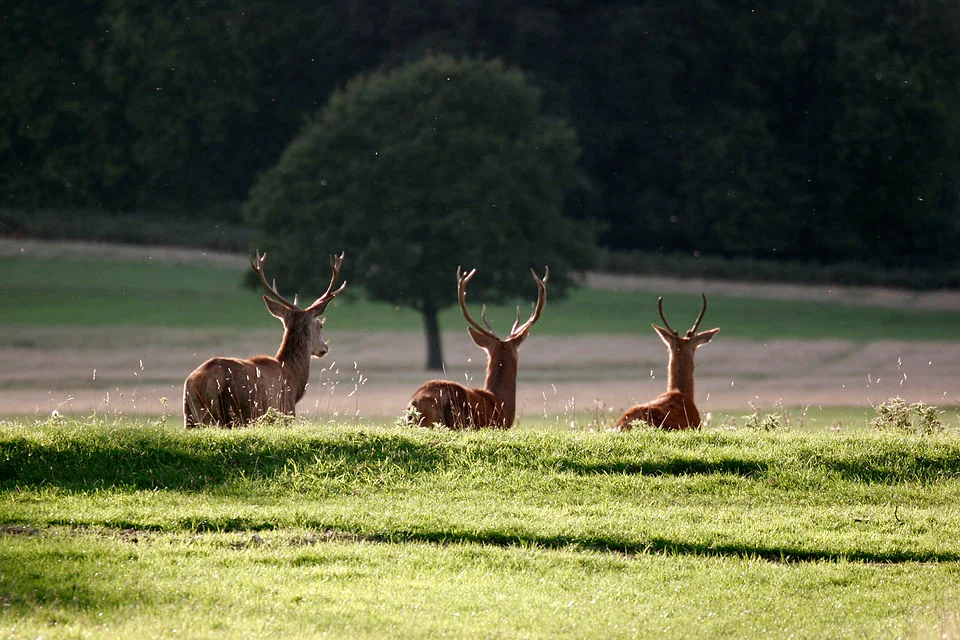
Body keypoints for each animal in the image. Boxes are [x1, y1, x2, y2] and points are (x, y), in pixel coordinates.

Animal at [183, 251, 346, 428]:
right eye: (320, 325)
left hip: (190, 417)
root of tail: (198, 383)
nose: (324, 347)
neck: (293, 378)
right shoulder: (285, 413)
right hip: (226, 416)